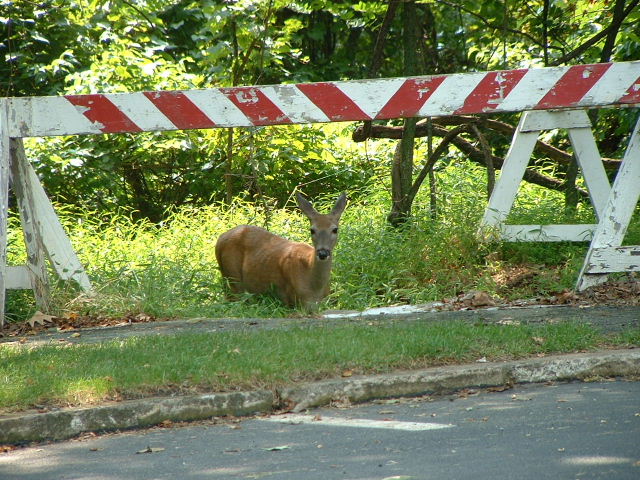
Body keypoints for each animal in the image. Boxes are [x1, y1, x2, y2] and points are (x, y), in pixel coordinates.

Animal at [215, 192, 347, 309]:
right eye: (312, 230)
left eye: (335, 229)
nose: (322, 253)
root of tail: (220, 238)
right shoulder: (291, 299)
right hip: (232, 278)